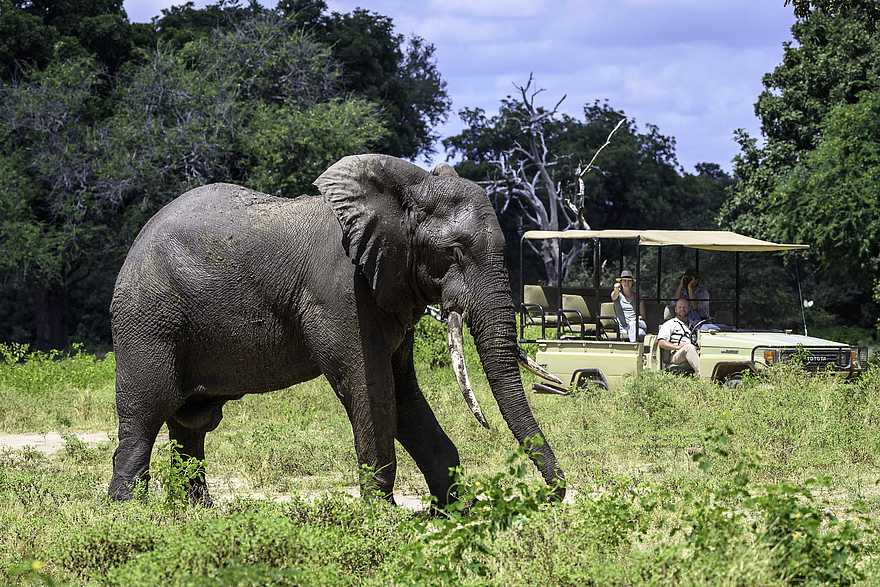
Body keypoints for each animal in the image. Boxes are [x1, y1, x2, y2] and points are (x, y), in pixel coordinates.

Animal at [108, 154, 565, 507]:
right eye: (454, 251)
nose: (553, 496)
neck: (406, 190)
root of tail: (136, 243)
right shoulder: (343, 293)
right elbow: (369, 385)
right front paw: (383, 517)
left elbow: (402, 391)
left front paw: (456, 511)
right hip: (147, 319)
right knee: (146, 412)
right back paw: (130, 513)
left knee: (191, 423)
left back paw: (196, 512)